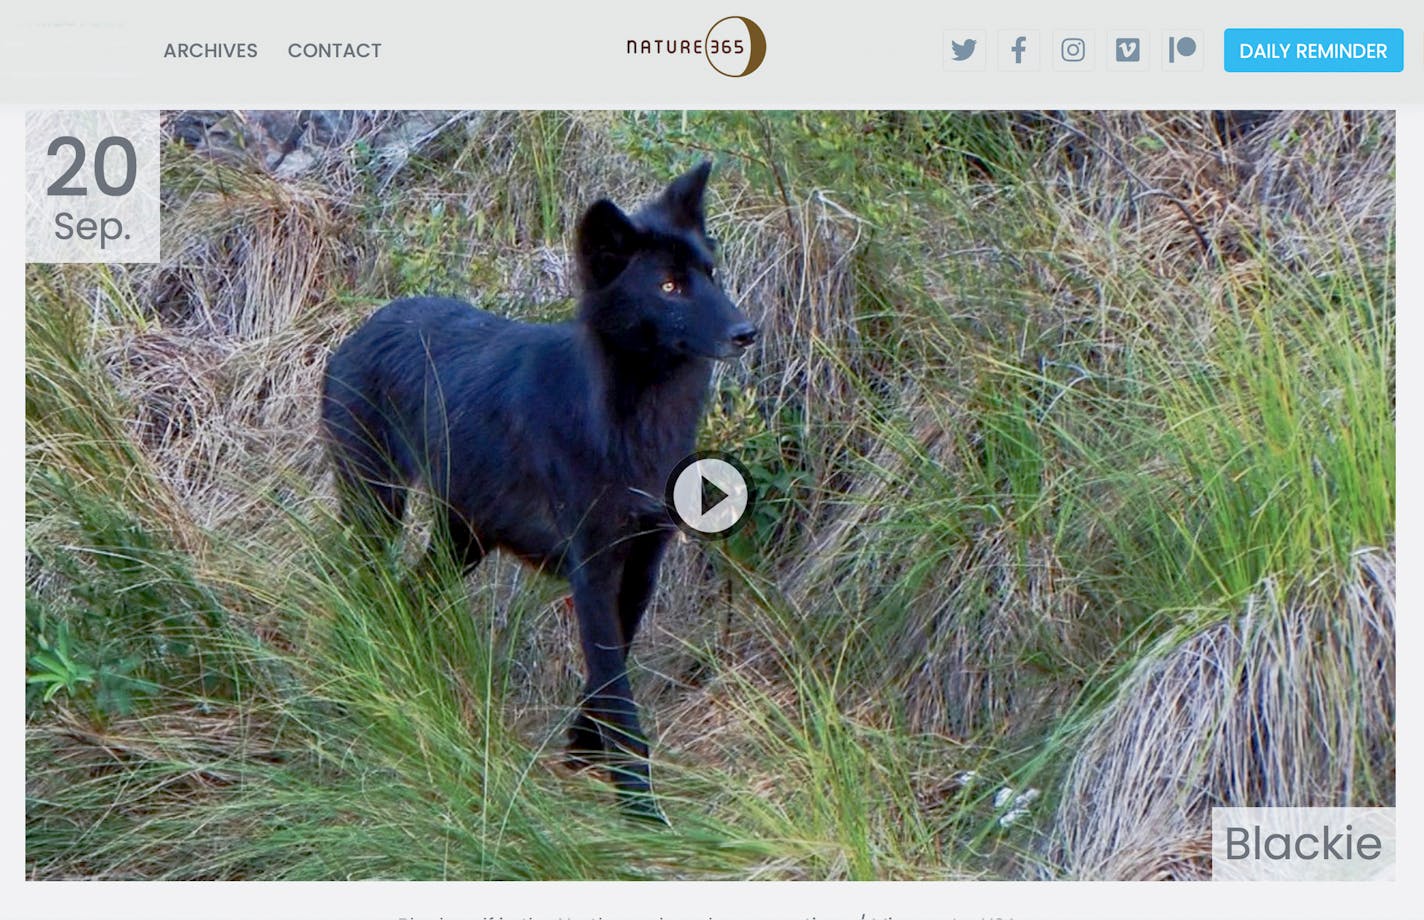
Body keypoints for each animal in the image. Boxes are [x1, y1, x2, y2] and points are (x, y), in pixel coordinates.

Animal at [321, 163, 757, 820]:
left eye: (710, 274)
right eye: (670, 287)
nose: (747, 332)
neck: (629, 422)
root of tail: (359, 332)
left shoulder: (641, 566)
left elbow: (610, 670)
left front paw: (582, 752)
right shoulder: (593, 568)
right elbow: (617, 689)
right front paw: (640, 809)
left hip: (465, 542)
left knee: (411, 593)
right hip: (378, 510)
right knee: (363, 585)